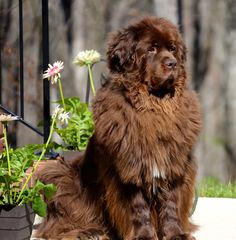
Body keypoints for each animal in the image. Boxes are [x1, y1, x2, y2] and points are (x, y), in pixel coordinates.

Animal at [36, 16, 201, 240]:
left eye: (172, 48)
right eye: (151, 49)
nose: (172, 63)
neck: (153, 107)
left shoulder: (174, 164)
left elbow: (171, 203)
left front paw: (176, 234)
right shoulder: (130, 166)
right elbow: (138, 207)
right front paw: (144, 236)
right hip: (60, 177)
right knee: (60, 221)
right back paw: (89, 232)